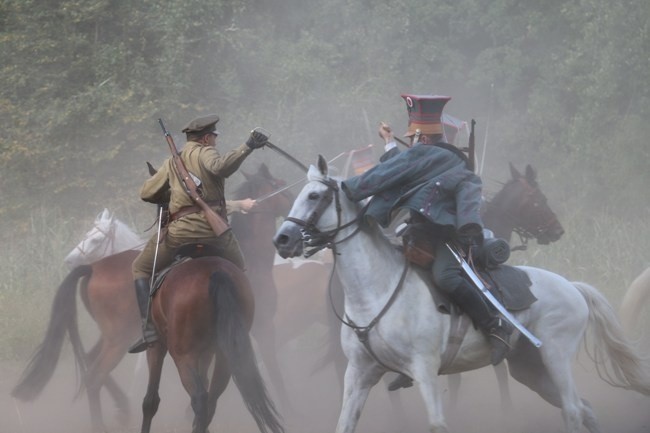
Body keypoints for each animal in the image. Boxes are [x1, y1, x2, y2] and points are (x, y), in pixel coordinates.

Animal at [139, 253, 280, 432]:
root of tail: (216, 273)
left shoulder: (156, 347)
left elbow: (150, 400)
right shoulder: (206, 353)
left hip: (183, 355)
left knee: (199, 399)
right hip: (224, 358)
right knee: (211, 400)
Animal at [270, 156, 648, 432]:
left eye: (314, 196)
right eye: (300, 195)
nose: (282, 239)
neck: (375, 291)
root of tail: (573, 287)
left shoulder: (424, 370)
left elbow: (439, 422)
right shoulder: (359, 375)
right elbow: (344, 422)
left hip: (555, 356)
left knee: (572, 410)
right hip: (529, 368)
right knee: (583, 409)